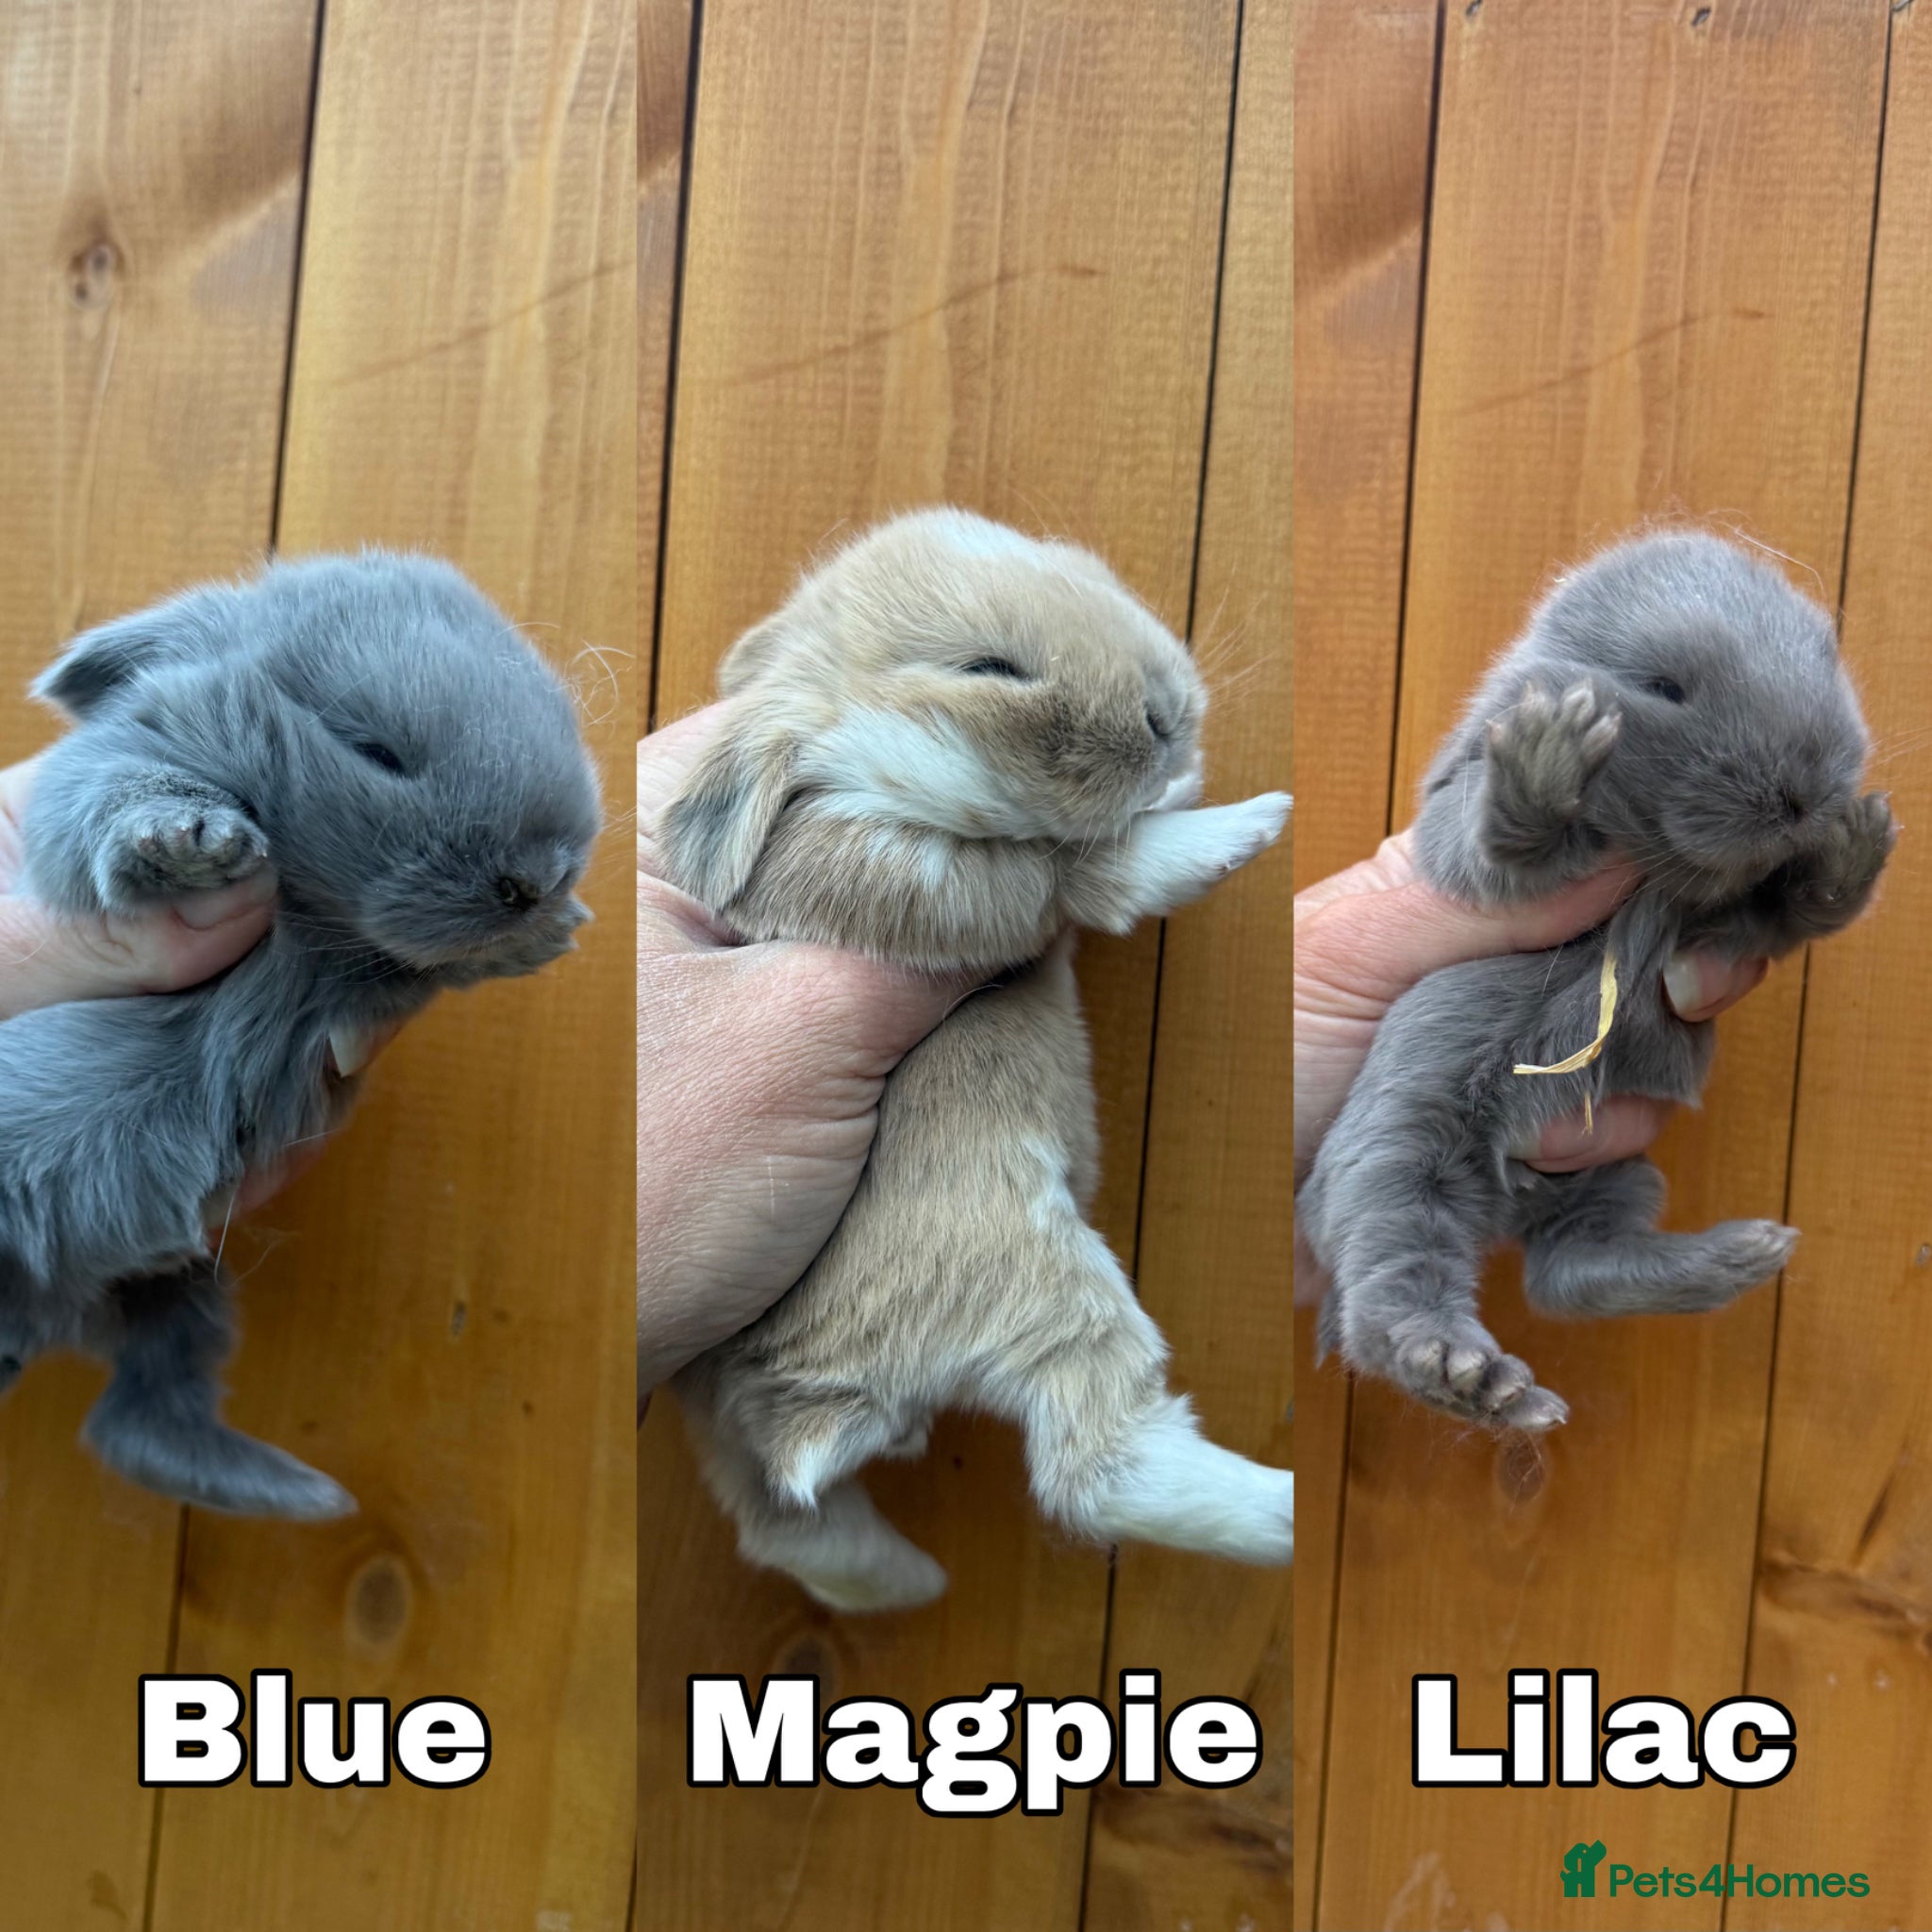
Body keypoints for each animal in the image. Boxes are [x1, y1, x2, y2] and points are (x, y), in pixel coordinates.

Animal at [0, 551, 599, 1517]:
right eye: (373, 749)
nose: (534, 881)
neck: (316, 927)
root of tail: (53, 1306)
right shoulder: (85, 806)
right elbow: (113, 804)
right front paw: (194, 839)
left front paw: (550, 936)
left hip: (185, 1295)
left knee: (140, 1420)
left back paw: (298, 1494)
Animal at [655, 507, 1293, 1612]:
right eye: (990, 668)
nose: (1170, 714)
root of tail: (808, 1410)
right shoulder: (906, 873)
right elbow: (1078, 871)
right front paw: (1238, 823)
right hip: (1034, 1271)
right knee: (1099, 1468)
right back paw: (1286, 1511)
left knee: (793, 1534)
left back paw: (908, 1584)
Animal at [1300, 529, 1896, 1430]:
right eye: (1666, 686)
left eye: (1825, 664)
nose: (1803, 796)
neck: (1661, 867)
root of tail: (1512, 1200)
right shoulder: (1463, 825)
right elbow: (1498, 846)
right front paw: (1551, 746)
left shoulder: (1728, 930)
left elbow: (1794, 911)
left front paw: (1859, 837)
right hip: (1400, 1149)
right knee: (1391, 1301)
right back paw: (1475, 1377)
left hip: (1618, 1171)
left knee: (1569, 1277)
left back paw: (1743, 1255)